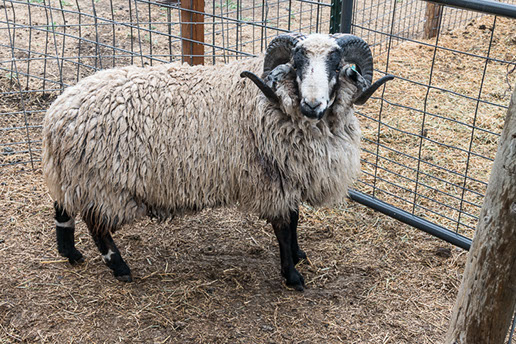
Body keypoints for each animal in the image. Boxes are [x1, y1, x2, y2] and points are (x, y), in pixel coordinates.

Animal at [43, 33, 392, 290]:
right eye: (297, 64)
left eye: (336, 64)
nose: (312, 105)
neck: (271, 101)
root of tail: (57, 114)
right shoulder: (272, 182)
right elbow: (283, 226)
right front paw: (292, 275)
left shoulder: (287, 178)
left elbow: (294, 221)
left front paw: (298, 254)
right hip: (105, 185)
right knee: (96, 225)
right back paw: (119, 267)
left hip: (72, 176)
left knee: (62, 207)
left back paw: (70, 252)